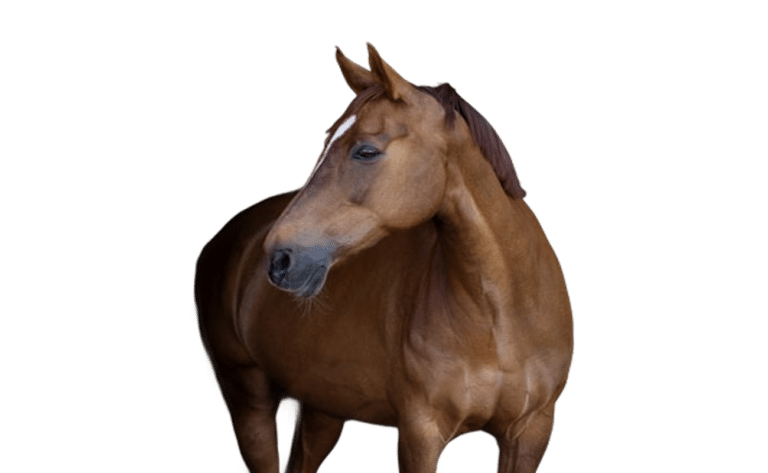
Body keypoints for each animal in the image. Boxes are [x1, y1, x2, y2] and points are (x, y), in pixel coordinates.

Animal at [191, 42, 574, 473]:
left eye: (366, 150)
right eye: (326, 139)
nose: (280, 259)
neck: (502, 315)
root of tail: (227, 238)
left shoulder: (530, 432)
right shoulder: (420, 434)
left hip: (323, 409)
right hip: (249, 403)